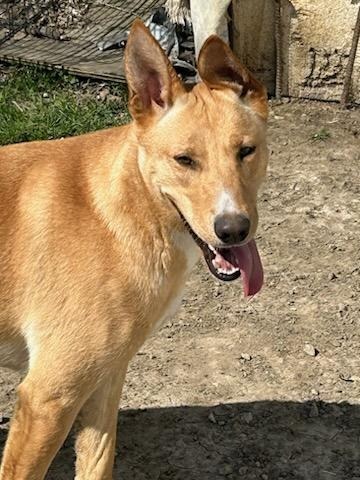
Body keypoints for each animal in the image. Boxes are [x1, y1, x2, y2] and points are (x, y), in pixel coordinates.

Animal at [0, 19, 268, 480]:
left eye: (246, 151)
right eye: (184, 160)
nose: (233, 230)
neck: (121, 210)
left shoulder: (105, 379)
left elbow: (98, 461)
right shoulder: (47, 397)